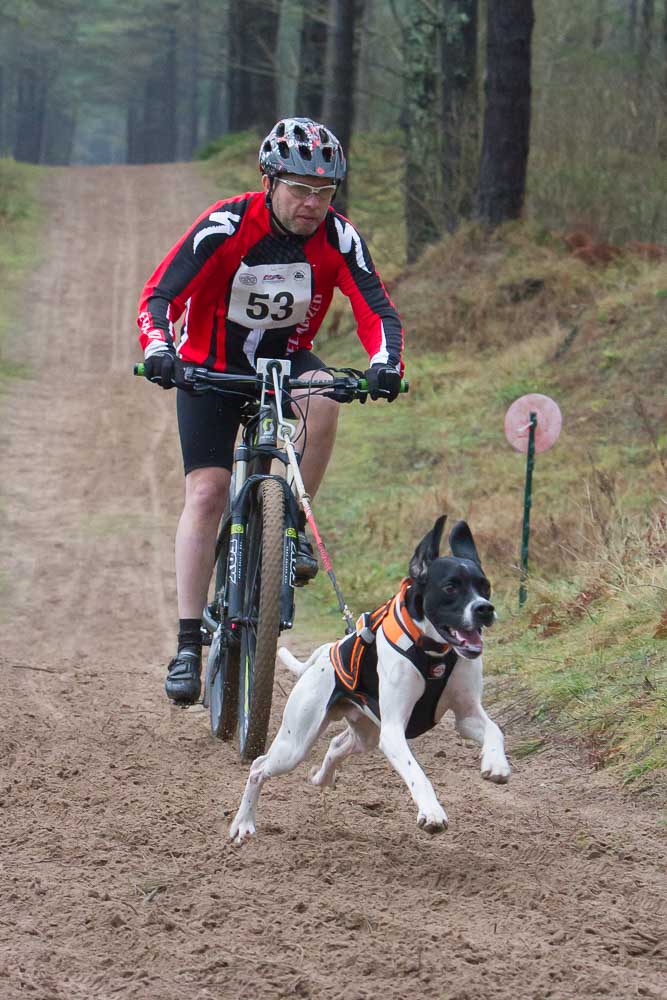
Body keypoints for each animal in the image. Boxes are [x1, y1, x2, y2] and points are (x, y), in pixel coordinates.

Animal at [231, 516, 512, 844]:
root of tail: (325, 653)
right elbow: (417, 774)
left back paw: (321, 777)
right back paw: (243, 823)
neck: (433, 649)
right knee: (258, 767)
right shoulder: (392, 732)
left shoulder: (467, 715)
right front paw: (431, 812)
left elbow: (495, 730)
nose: (485, 609)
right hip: (295, 744)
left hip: (364, 734)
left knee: (336, 745)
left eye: (484, 586)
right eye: (451, 587)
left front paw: (495, 763)